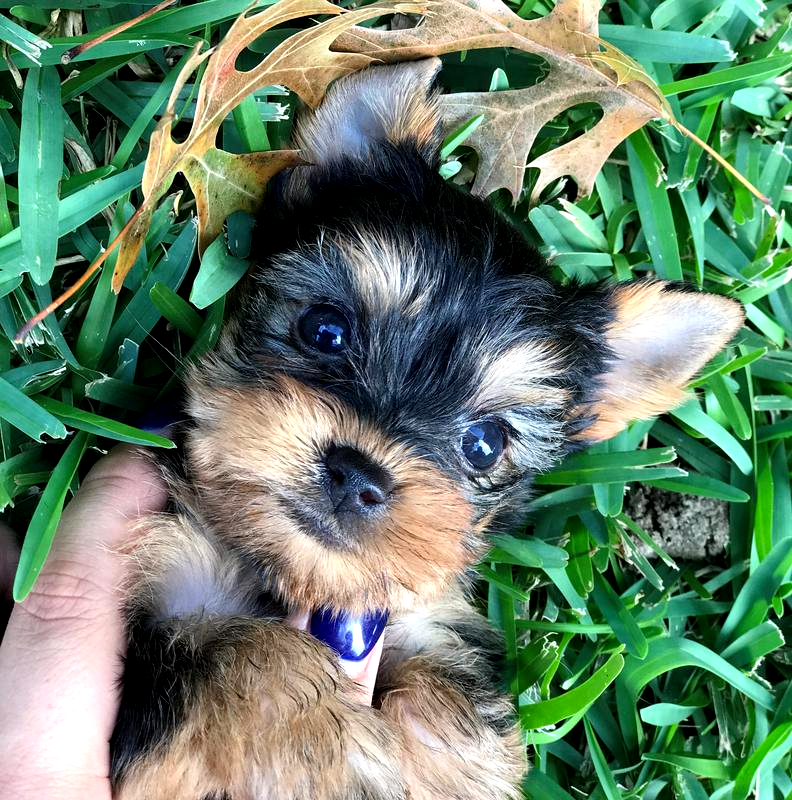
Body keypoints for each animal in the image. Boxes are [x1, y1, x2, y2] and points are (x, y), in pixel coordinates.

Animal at [110, 61, 744, 800]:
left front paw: (444, 760)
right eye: (325, 330)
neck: (291, 579)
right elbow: (235, 648)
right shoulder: (159, 598)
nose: (357, 475)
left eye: (484, 444)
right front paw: (305, 740)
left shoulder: (426, 624)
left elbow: (449, 690)